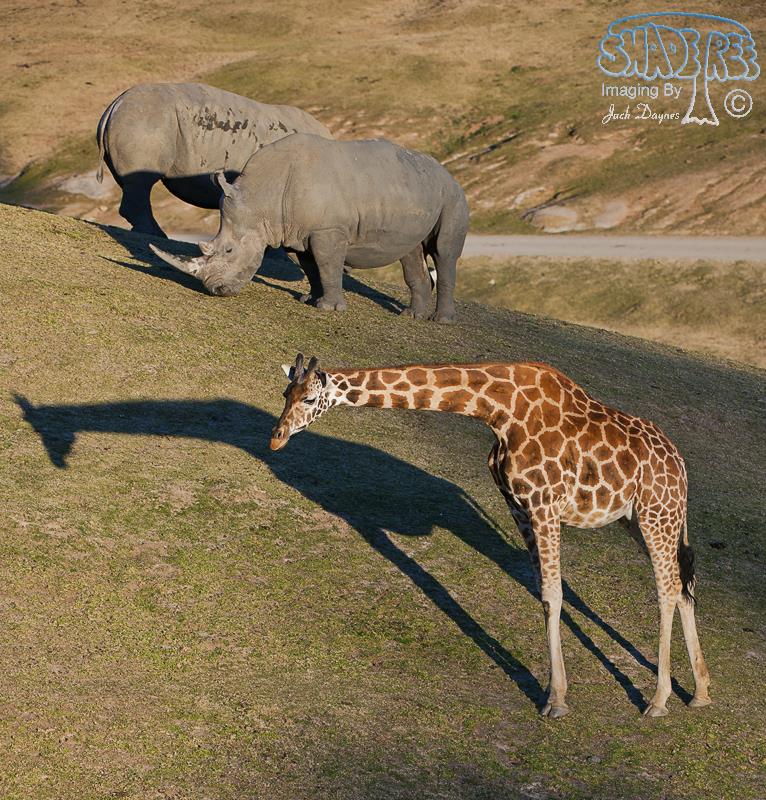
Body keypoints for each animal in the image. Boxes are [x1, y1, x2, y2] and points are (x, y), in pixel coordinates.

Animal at [270, 354, 711, 718]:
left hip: (656, 515)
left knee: (667, 588)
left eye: (310, 399)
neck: (497, 412)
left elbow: (554, 595)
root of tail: (681, 467)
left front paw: (557, 700)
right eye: (285, 393)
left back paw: (658, 700)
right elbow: (543, 595)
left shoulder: (545, 505)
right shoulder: (519, 508)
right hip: (638, 520)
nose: (276, 438)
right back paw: (700, 692)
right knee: (682, 584)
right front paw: (553, 692)